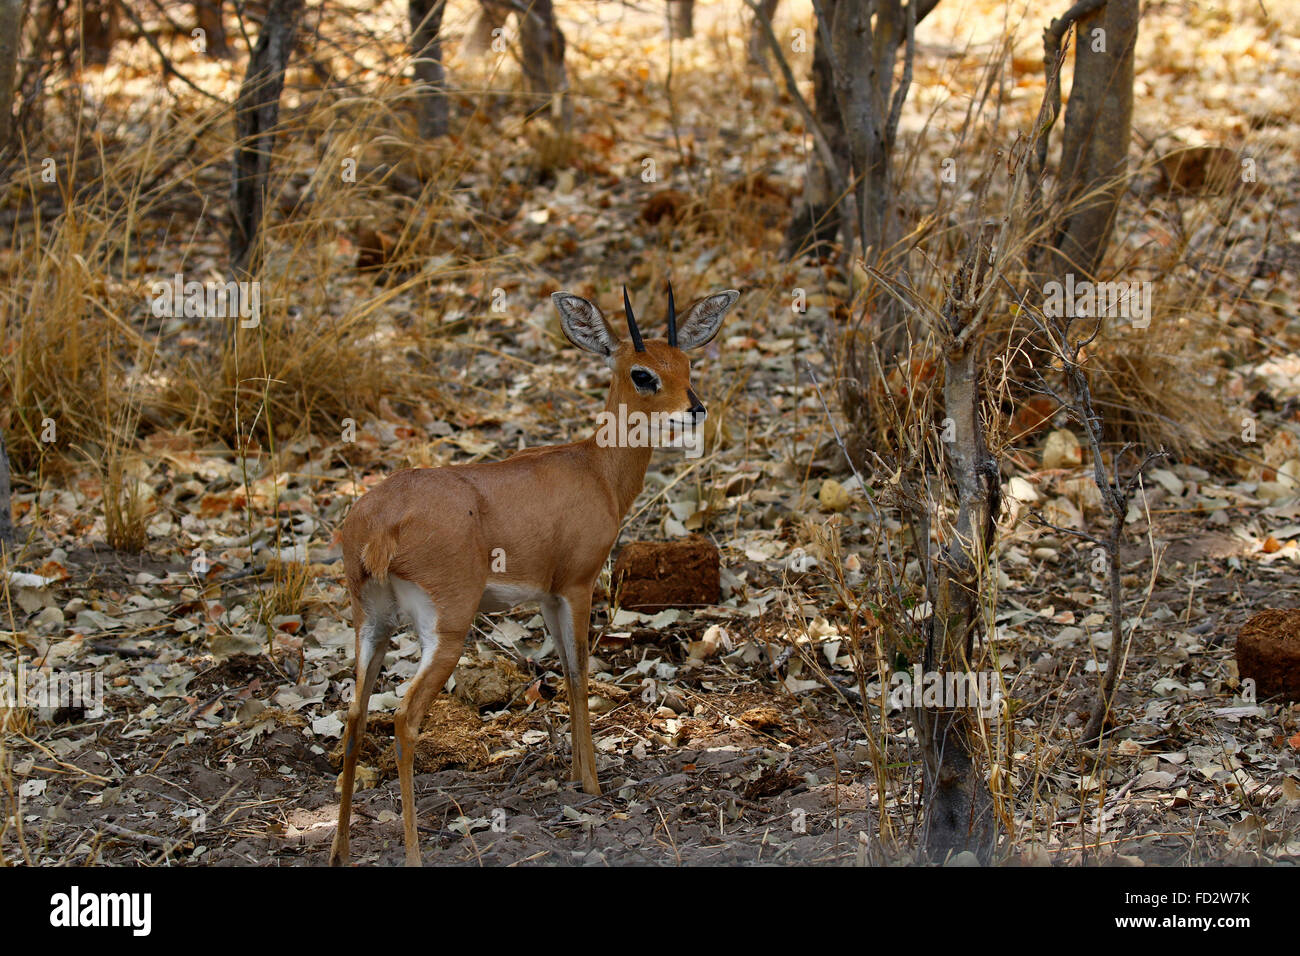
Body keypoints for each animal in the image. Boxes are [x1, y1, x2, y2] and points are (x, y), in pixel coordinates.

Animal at [330, 282, 738, 868]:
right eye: (642, 374)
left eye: (686, 363)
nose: (694, 410)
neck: (596, 469)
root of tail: (381, 523)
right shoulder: (577, 585)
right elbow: (581, 671)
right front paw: (592, 784)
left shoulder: (546, 595)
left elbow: (565, 672)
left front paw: (576, 775)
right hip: (445, 629)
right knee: (404, 719)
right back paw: (412, 854)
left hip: (372, 626)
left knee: (354, 716)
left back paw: (339, 851)